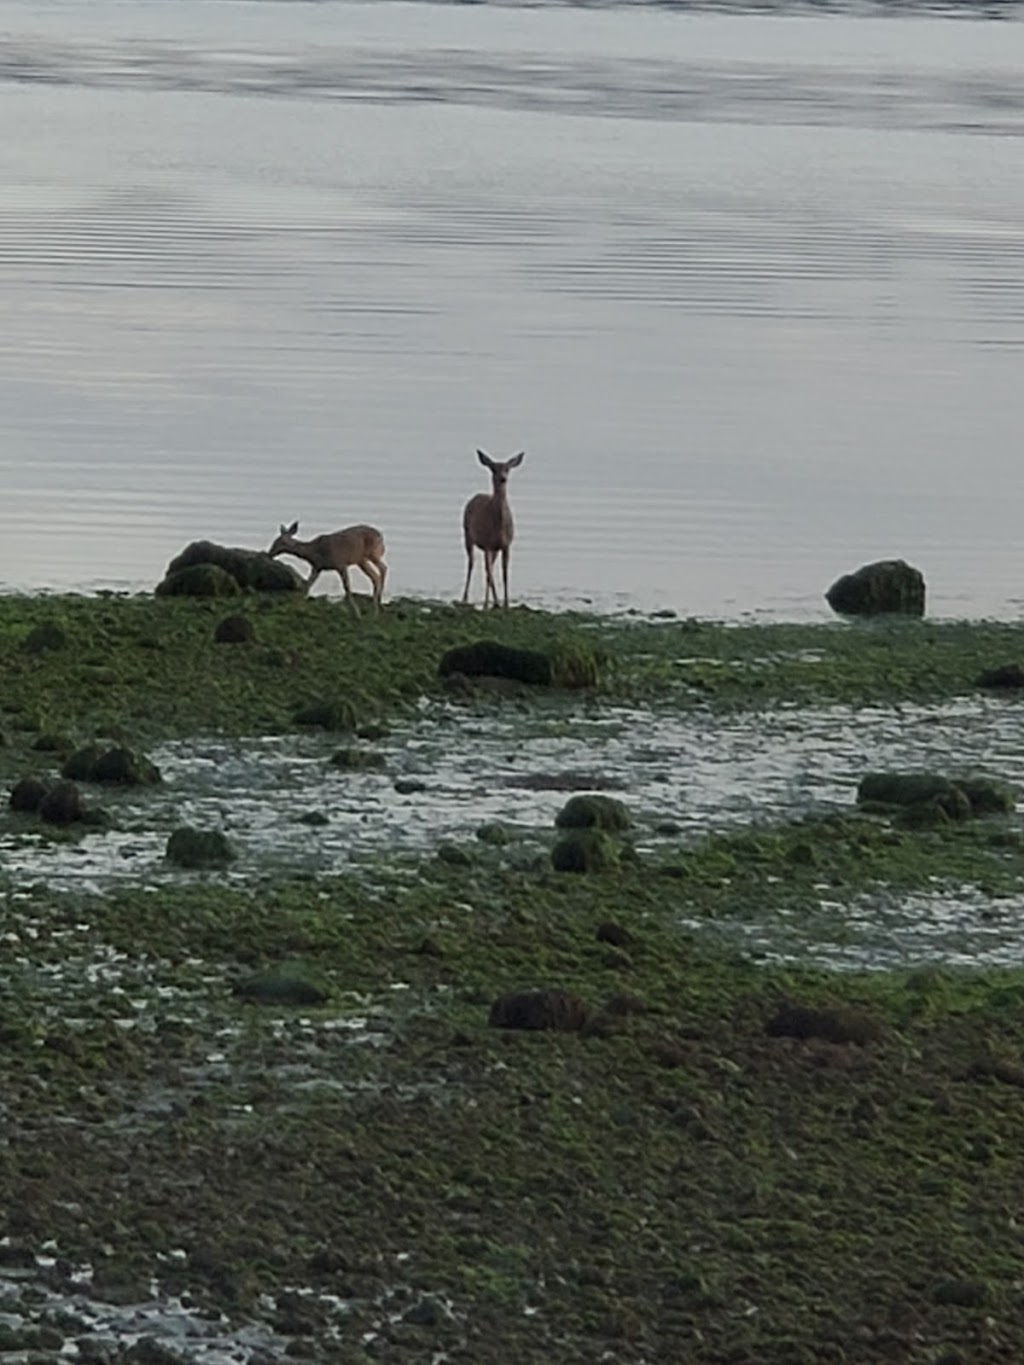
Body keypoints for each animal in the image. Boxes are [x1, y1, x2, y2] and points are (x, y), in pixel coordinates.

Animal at [464, 447, 529, 608]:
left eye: (507, 468)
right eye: (493, 468)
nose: (503, 478)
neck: (499, 528)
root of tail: (475, 496)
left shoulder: (506, 545)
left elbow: (505, 574)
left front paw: (505, 602)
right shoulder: (487, 543)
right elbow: (489, 573)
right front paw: (487, 603)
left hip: (493, 549)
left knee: (489, 569)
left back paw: (496, 601)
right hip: (468, 535)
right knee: (472, 564)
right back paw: (466, 597)